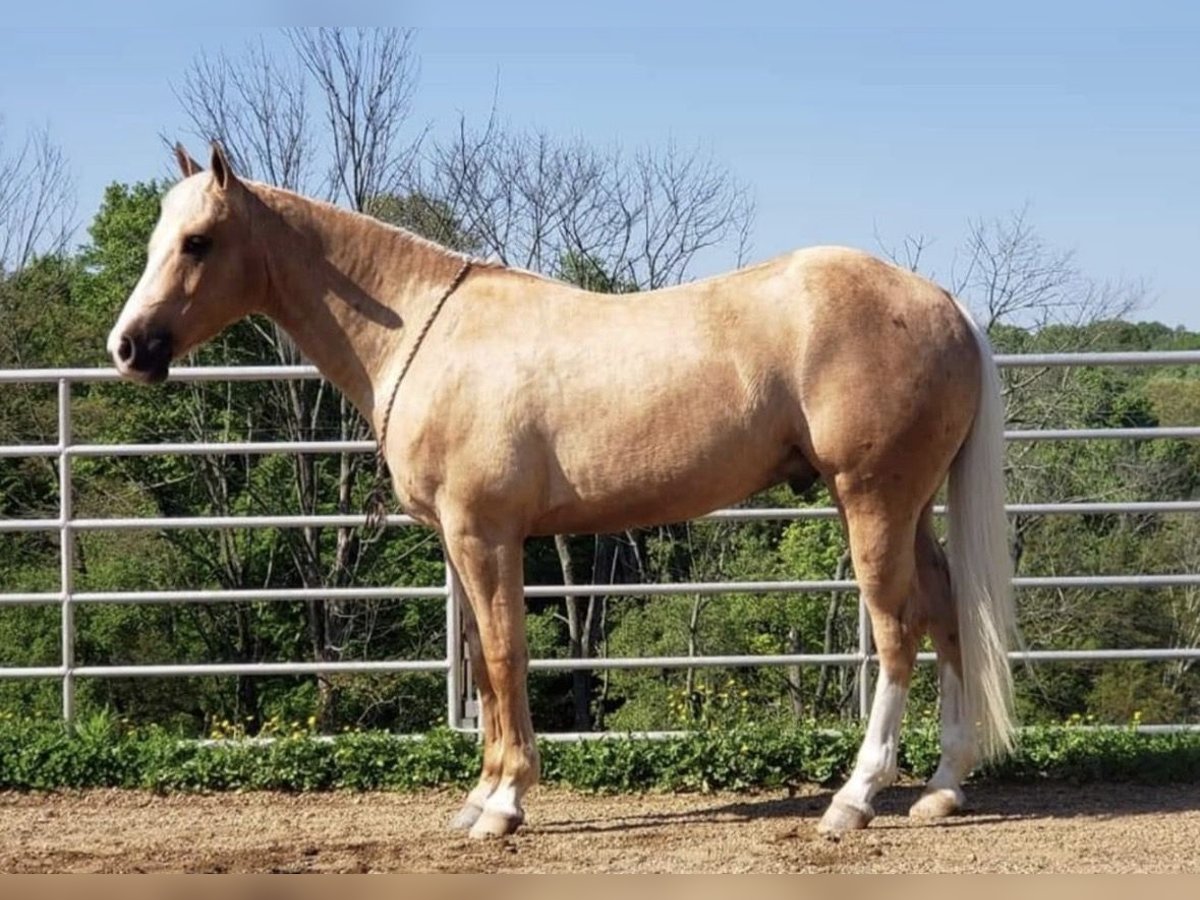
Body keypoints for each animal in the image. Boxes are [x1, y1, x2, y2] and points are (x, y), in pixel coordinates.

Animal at [108, 142, 1016, 840]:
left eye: (197, 241)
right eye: (159, 237)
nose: (128, 347)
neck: (428, 331)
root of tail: (945, 304)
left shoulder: (486, 534)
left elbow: (508, 655)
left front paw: (505, 805)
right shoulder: (459, 541)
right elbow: (481, 660)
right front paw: (478, 797)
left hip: (872, 502)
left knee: (898, 630)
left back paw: (854, 799)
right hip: (904, 507)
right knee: (945, 614)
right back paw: (943, 788)